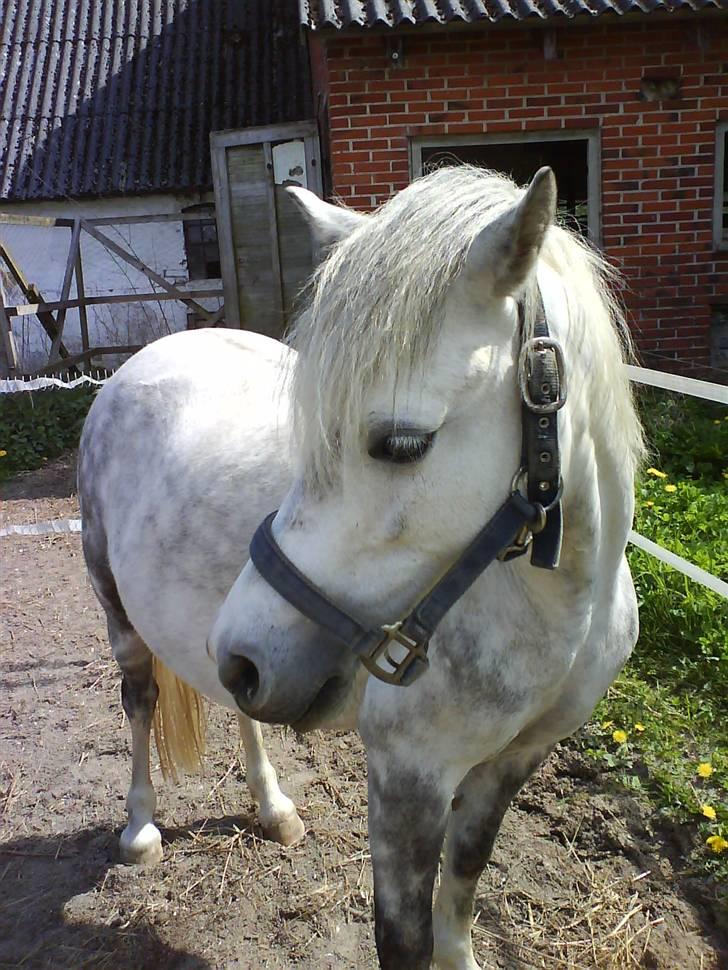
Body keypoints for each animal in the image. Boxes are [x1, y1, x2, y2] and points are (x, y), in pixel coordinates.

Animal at [78, 165, 643, 970]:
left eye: (402, 445)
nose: (246, 653)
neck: (562, 613)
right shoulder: (409, 777)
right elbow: (405, 938)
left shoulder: (514, 763)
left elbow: (464, 884)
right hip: (121, 614)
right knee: (140, 700)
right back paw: (140, 829)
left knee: (237, 706)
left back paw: (273, 806)